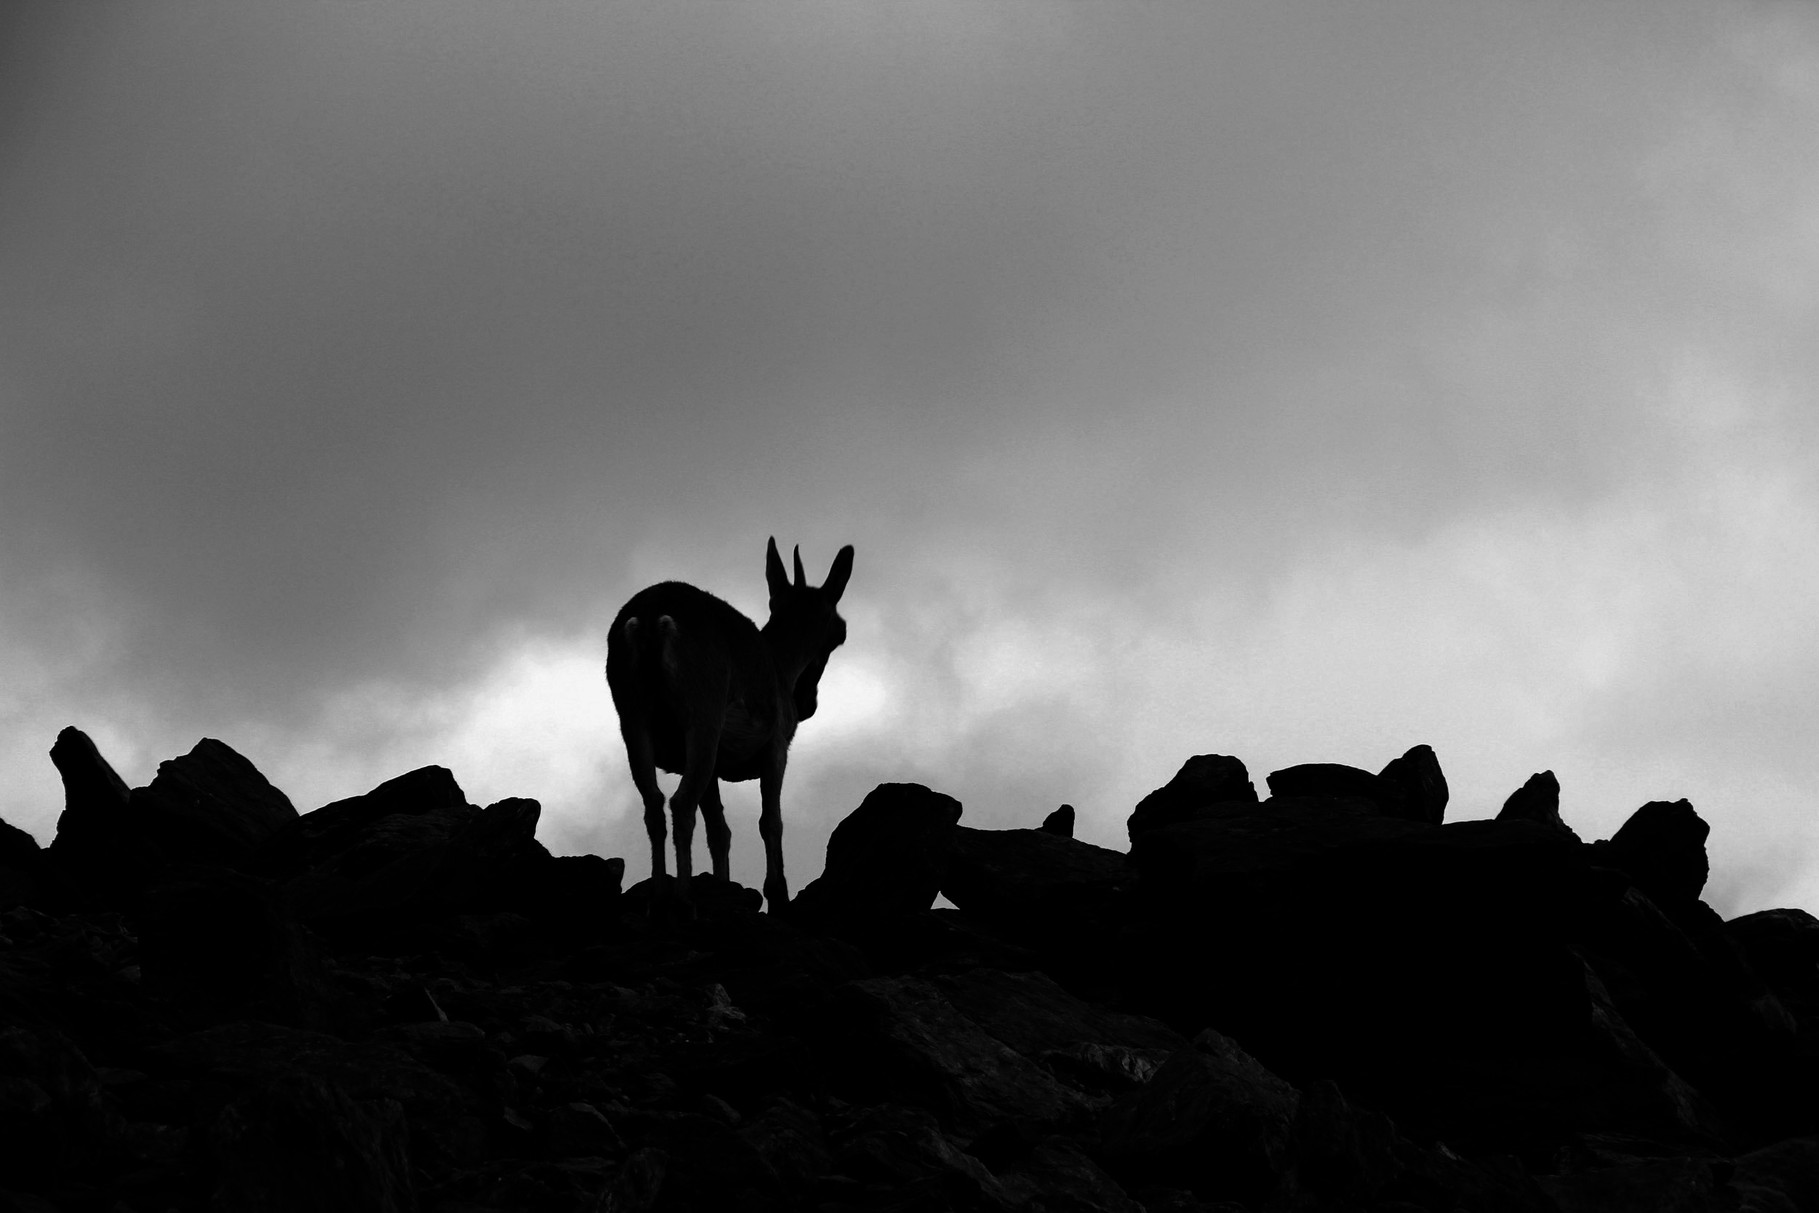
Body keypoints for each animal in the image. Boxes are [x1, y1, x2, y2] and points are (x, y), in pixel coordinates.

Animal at [600, 541, 847, 909]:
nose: (807, 703)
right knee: (681, 802)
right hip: (703, 719)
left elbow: (720, 831)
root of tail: (651, 618)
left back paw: (659, 895)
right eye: (839, 633)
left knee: (655, 804)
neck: (778, 664)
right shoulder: (776, 750)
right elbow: (770, 821)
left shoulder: (715, 769)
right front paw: (777, 894)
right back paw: (683, 899)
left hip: (634, 722)